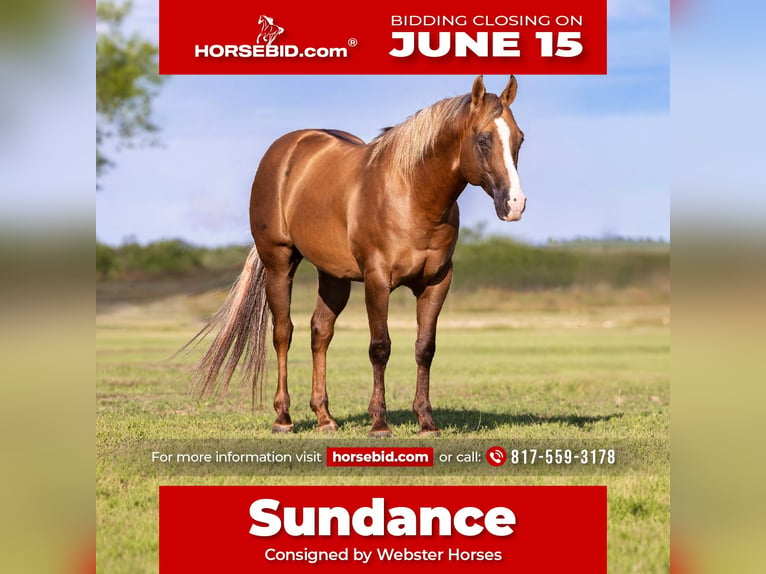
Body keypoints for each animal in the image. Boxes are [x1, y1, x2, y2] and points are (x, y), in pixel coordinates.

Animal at [184, 75, 526, 437]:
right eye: (483, 139)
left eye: (519, 138)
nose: (515, 204)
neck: (412, 194)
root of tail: (287, 149)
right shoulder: (377, 280)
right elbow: (380, 347)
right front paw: (379, 423)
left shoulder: (437, 282)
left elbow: (424, 348)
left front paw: (426, 422)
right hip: (279, 264)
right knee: (283, 333)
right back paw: (283, 418)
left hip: (334, 276)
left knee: (320, 332)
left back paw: (324, 418)